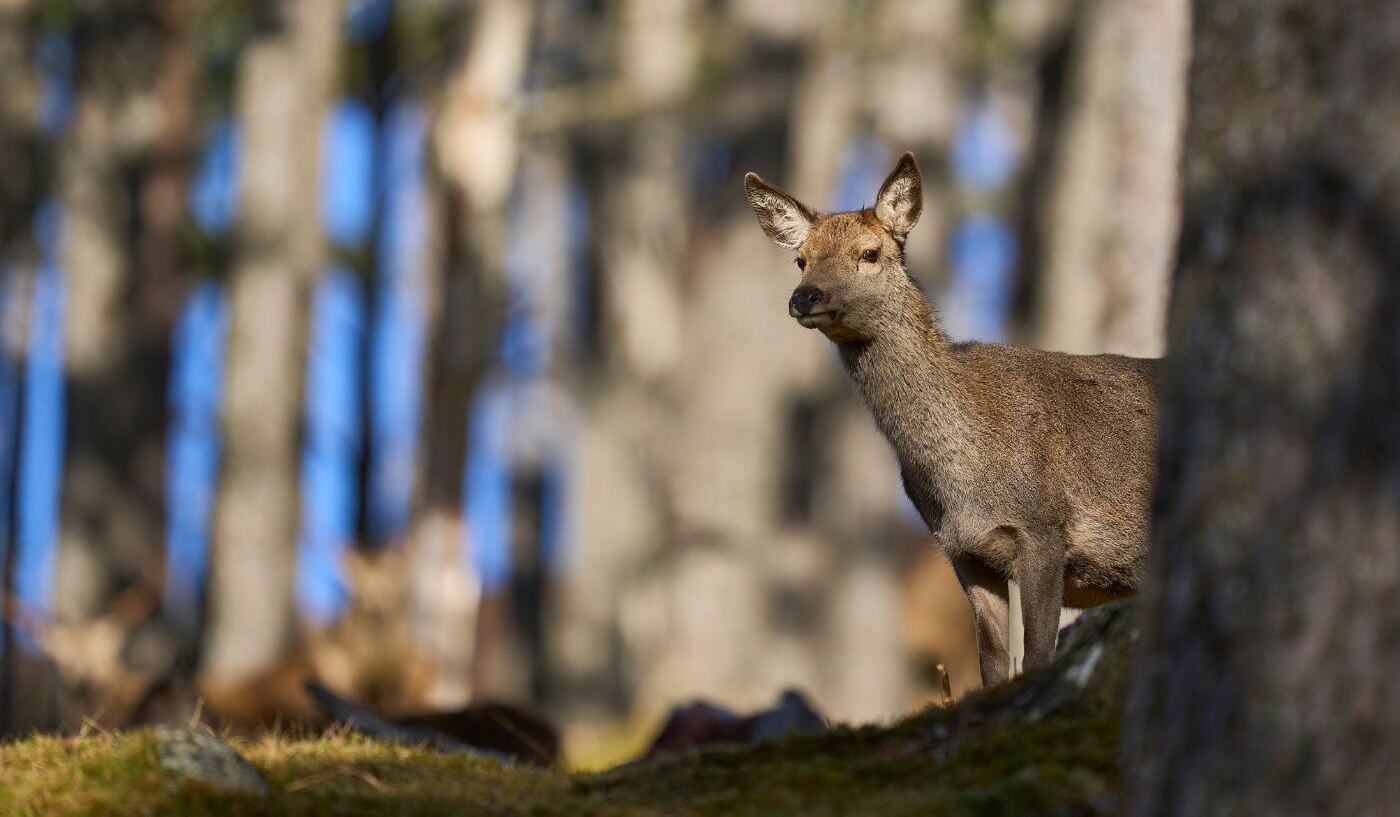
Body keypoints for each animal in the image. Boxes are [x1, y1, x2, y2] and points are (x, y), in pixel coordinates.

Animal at [744, 152, 1158, 688]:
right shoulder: (964, 552)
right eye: (801, 259)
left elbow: (1038, 656)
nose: (805, 296)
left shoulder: (1045, 530)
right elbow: (993, 664)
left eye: (870, 253)